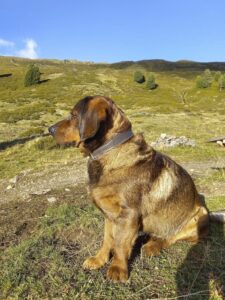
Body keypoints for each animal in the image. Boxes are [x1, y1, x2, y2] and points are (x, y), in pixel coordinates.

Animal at [49, 95, 225, 282]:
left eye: (74, 115)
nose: (49, 129)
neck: (110, 151)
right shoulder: (109, 214)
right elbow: (107, 239)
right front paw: (99, 259)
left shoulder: (129, 214)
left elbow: (120, 244)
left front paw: (117, 269)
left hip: (198, 216)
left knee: (172, 237)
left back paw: (152, 246)